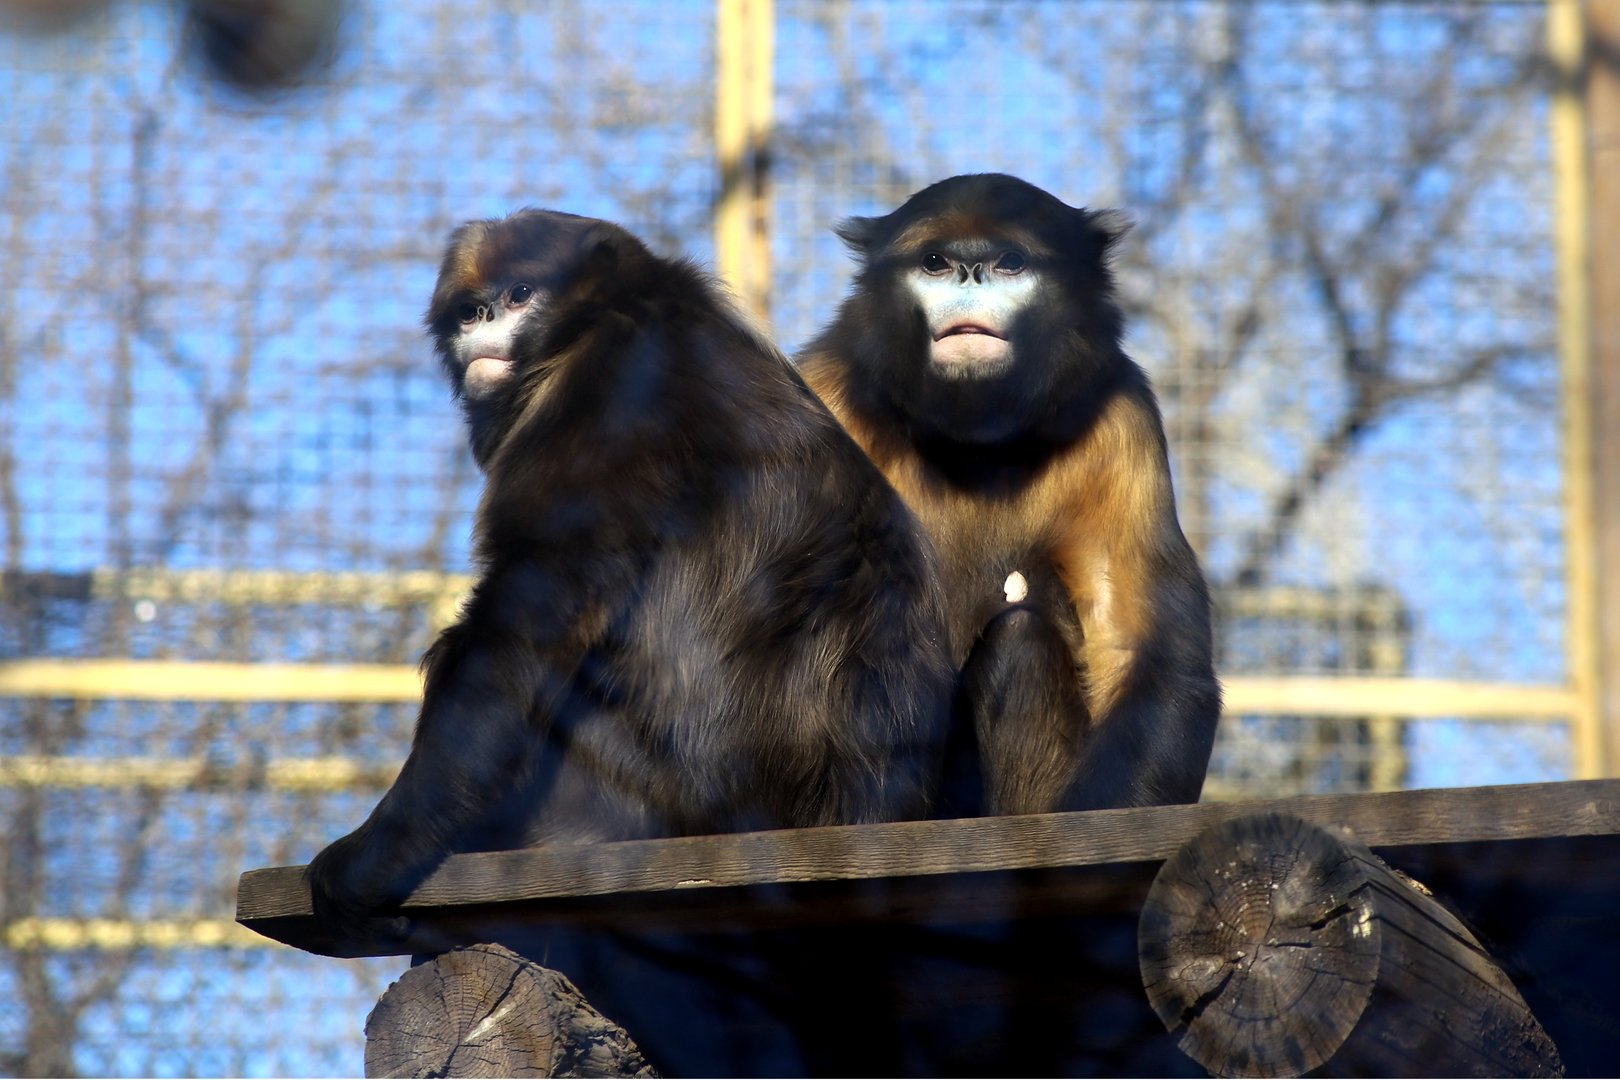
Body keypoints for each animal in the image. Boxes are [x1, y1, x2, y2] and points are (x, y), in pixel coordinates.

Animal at [304, 209, 956, 941]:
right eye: (471, 310)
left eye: (520, 296)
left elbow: (526, 625)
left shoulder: (607, 389)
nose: (484, 328)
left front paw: (369, 860)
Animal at [799, 173, 1220, 816]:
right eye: (935, 263)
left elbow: (1148, 656)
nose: (971, 275)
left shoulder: (1122, 417)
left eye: (1010, 263)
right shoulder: (824, 388)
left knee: (1020, 641)